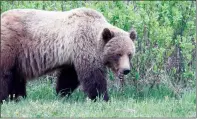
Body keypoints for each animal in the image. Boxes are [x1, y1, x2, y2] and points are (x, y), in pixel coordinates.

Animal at [0, 7, 136, 102]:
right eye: (118, 54)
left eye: (129, 54)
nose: (126, 70)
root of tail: (2, 16)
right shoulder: (84, 45)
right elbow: (93, 76)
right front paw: (102, 97)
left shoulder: (73, 54)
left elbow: (69, 77)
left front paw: (62, 93)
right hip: (11, 44)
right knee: (5, 73)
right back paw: (6, 98)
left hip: (19, 57)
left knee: (16, 75)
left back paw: (17, 97)